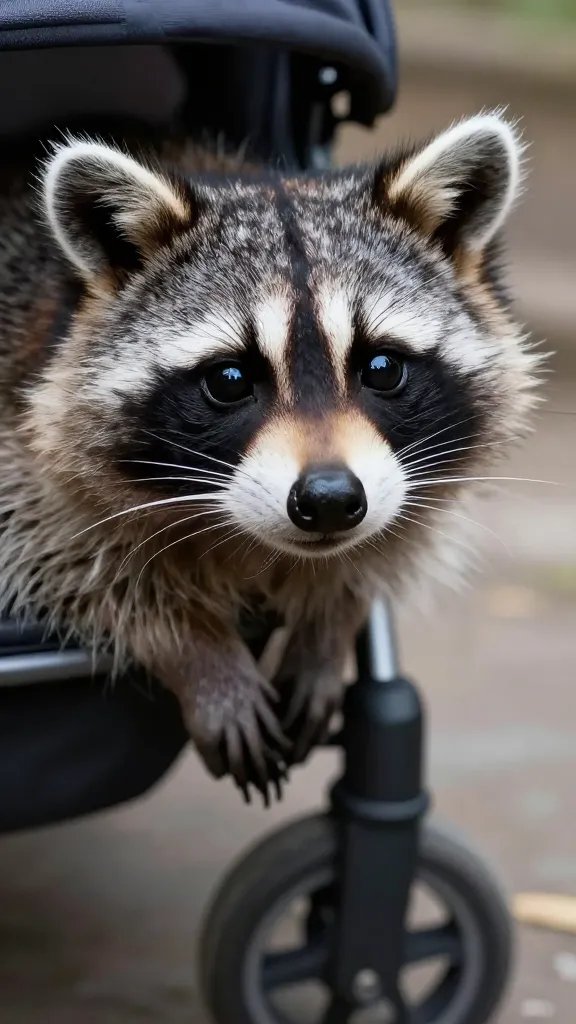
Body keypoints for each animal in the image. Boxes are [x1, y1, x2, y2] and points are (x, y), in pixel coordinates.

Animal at [0, 113, 538, 799]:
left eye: (382, 368)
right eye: (229, 380)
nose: (331, 501)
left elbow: (382, 550)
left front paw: (330, 623)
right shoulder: (22, 439)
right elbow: (74, 559)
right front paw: (199, 650)